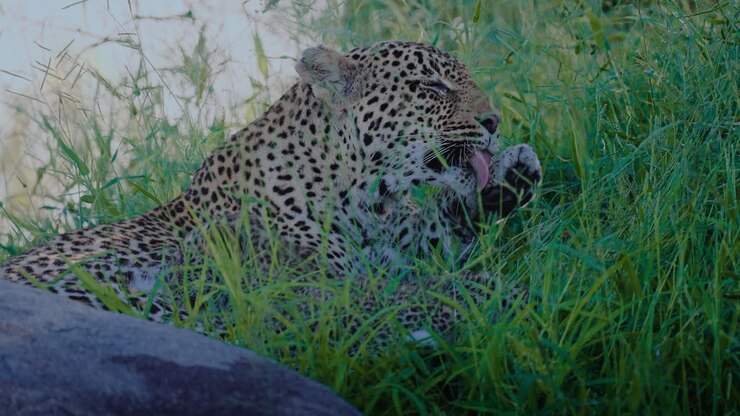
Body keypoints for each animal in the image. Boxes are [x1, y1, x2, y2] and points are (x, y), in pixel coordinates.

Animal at [0, 41, 542, 346]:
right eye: (430, 86)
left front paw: (512, 176)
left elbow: (442, 231)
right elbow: (389, 292)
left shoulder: (408, 240)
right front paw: (487, 292)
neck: (369, 198)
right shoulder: (309, 283)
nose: (494, 122)